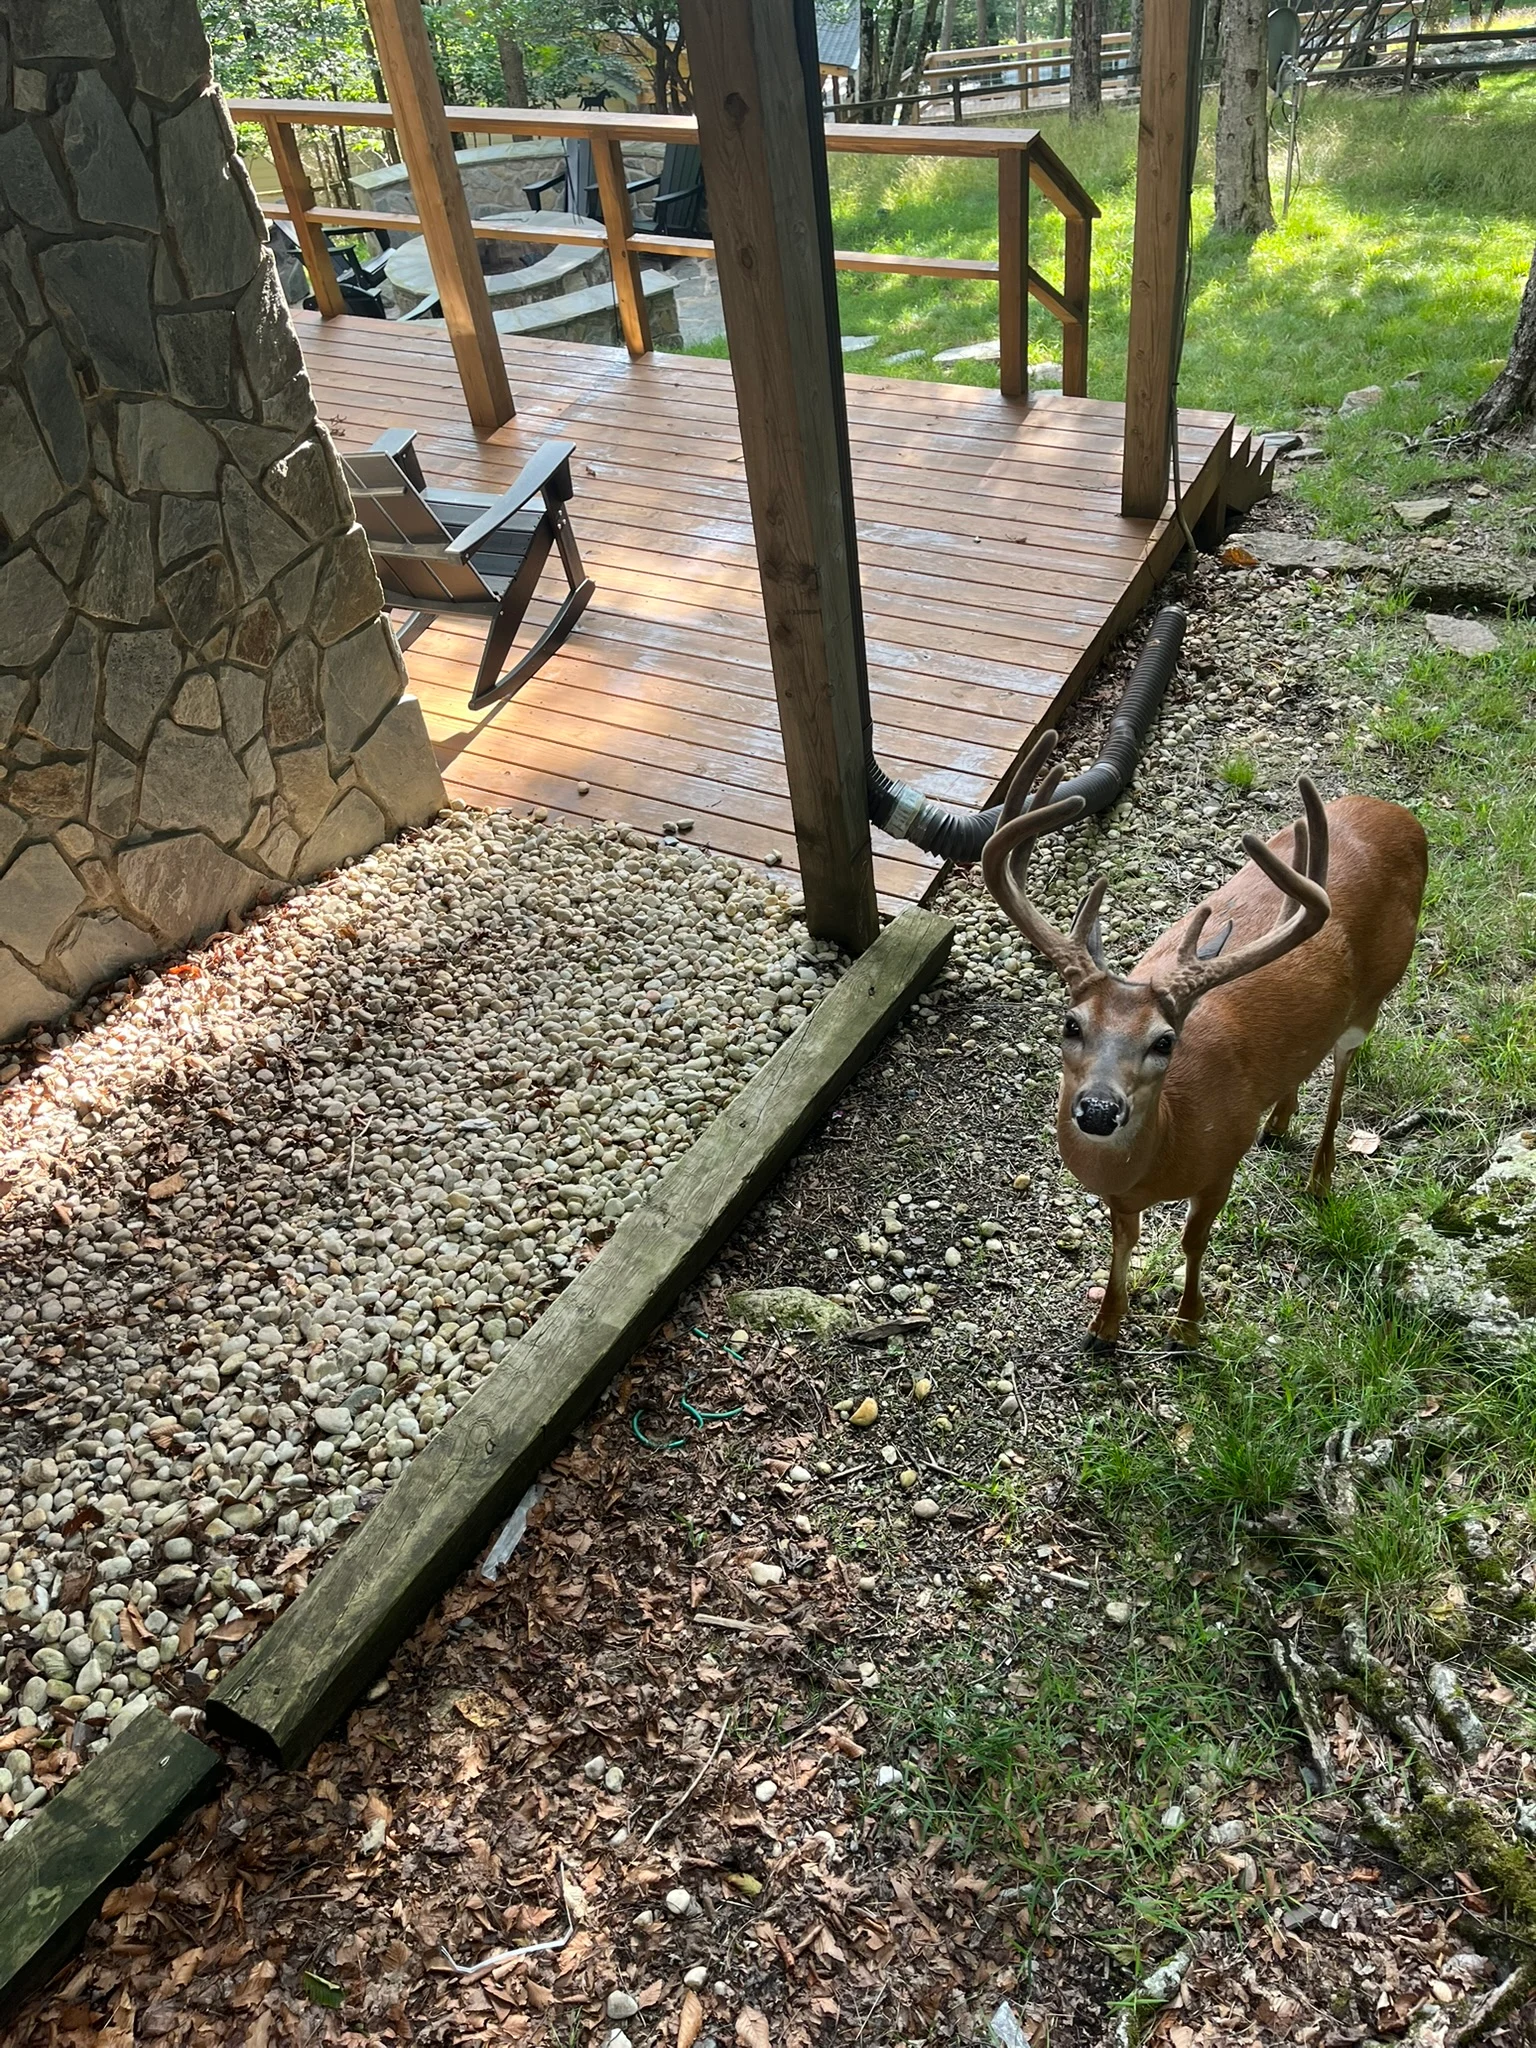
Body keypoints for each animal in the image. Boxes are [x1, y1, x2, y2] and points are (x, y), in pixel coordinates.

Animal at [982, 730, 1428, 1346]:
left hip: (1377, 991)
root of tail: (1403, 817)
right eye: (1071, 1024)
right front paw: (1105, 1325)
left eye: (1165, 1042)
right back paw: (1279, 1121)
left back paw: (1319, 1175)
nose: (1098, 1110)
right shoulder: (1121, 1197)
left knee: (1342, 1066)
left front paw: (1187, 1326)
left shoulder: (1222, 1161)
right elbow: (1124, 1243)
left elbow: (1193, 1241)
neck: (1169, 1146)